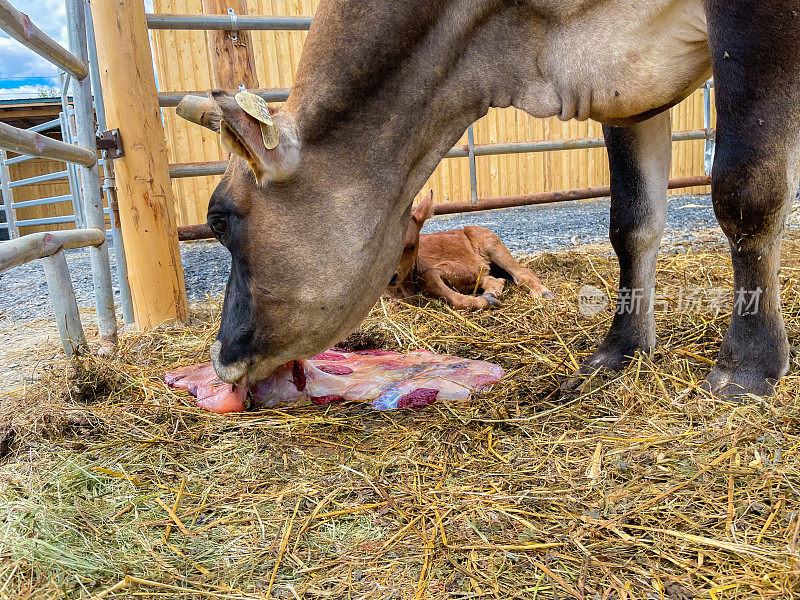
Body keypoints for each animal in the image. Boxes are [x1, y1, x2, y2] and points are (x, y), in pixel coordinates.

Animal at [386, 191, 552, 310]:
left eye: (412, 246)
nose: (391, 277)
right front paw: (489, 298)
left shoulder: (464, 269)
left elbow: (429, 278)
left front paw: (485, 302)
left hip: (492, 243)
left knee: (522, 272)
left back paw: (543, 292)